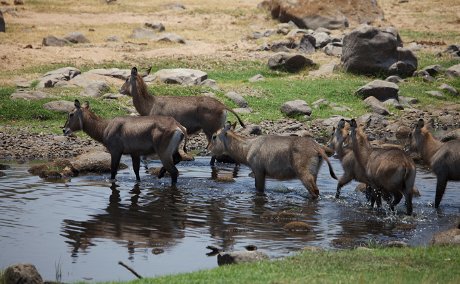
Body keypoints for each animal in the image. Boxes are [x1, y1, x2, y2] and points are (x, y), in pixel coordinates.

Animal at [208, 123, 338, 199]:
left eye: (214, 136)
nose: (207, 148)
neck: (247, 148)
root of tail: (318, 147)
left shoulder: (258, 170)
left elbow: (259, 190)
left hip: (304, 174)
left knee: (315, 192)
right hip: (314, 174)